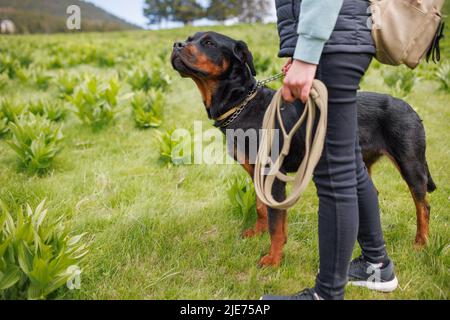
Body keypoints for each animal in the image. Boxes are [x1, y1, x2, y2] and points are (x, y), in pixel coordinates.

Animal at [171, 30, 436, 268]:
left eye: (208, 43)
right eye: (190, 38)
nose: (176, 45)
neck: (243, 103)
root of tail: (411, 109)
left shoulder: (272, 176)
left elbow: (276, 223)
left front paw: (273, 260)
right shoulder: (256, 173)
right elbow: (261, 208)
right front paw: (257, 234)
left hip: (410, 163)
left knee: (422, 205)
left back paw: (421, 243)